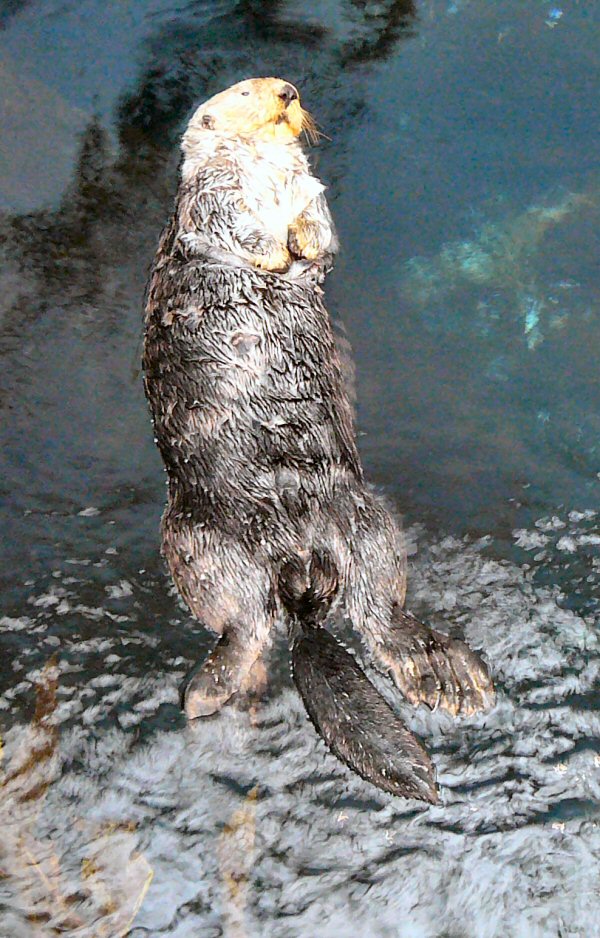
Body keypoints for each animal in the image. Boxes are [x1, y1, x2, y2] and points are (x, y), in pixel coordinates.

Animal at [143, 77, 494, 802]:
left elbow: (321, 230)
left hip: (364, 516)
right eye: (243, 91)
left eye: (280, 86)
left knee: (376, 613)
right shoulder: (209, 198)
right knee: (244, 627)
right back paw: (211, 693)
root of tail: (299, 570)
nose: (286, 91)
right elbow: (233, 221)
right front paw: (275, 251)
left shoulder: (310, 195)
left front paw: (298, 241)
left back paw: (447, 675)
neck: (268, 174)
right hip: (196, 540)